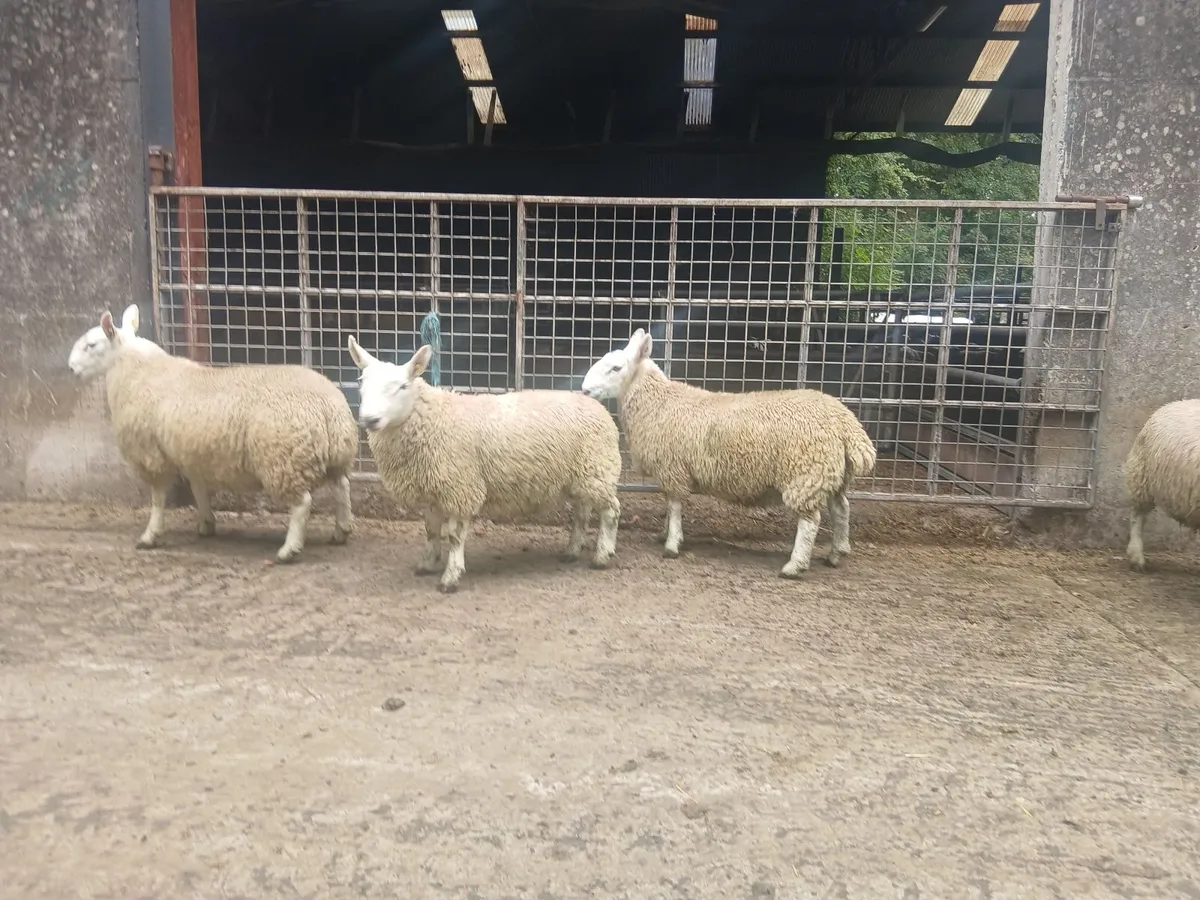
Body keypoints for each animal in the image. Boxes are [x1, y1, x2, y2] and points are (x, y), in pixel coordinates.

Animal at [67, 305, 358, 562]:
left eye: (91, 345)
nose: (70, 368)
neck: (137, 370)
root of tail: (327, 408)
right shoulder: (194, 452)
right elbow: (198, 489)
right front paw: (206, 523)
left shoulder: (151, 456)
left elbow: (158, 500)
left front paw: (150, 536)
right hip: (334, 457)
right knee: (342, 488)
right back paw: (341, 531)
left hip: (282, 460)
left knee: (302, 504)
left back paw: (289, 550)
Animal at [347, 336, 622, 593]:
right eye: (361, 382)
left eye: (403, 386)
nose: (370, 420)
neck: (433, 419)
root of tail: (597, 406)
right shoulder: (432, 489)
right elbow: (431, 531)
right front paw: (427, 564)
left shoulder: (459, 489)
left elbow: (454, 537)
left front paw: (450, 577)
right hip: (581, 475)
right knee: (581, 512)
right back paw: (572, 551)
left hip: (598, 469)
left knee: (611, 511)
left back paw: (601, 556)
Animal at [581, 327, 877, 578]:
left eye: (616, 368)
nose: (584, 390)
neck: (657, 402)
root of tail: (848, 426)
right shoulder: (673, 470)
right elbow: (669, 505)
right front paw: (664, 534)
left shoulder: (673, 468)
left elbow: (674, 506)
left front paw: (672, 544)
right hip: (832, 474)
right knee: (841, 510)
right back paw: (836, 554)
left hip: (806, 474)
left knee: (810, 521)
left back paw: (794, 566)